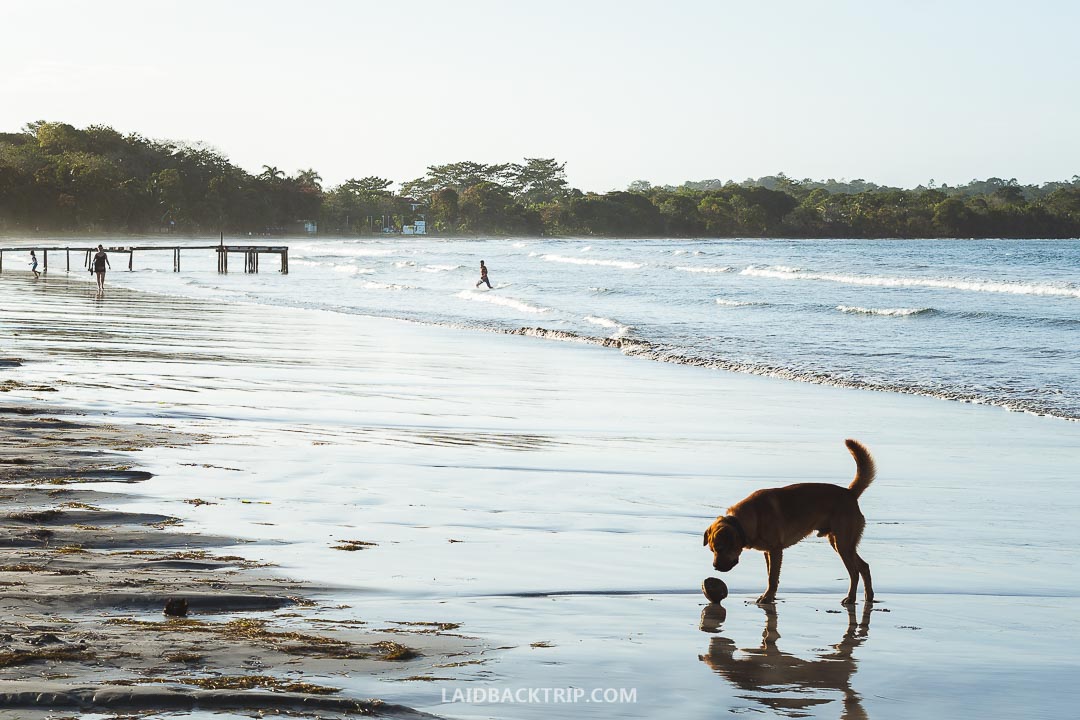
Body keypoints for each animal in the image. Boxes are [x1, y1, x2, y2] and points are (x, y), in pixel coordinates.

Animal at [699, 442, 876, 604]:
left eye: (721, 548)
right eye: (712, 550)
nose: (715, 567)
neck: (748, 520)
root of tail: (850, 493)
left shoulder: (776, 550)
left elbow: (772, 578)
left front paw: (767, 597)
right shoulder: (768, 552)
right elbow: (771, 575)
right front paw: (770, 596)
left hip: (843, 544)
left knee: (854, 572)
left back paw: (851, 597)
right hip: (841, 543)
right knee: (864, 566)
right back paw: (869, 597)